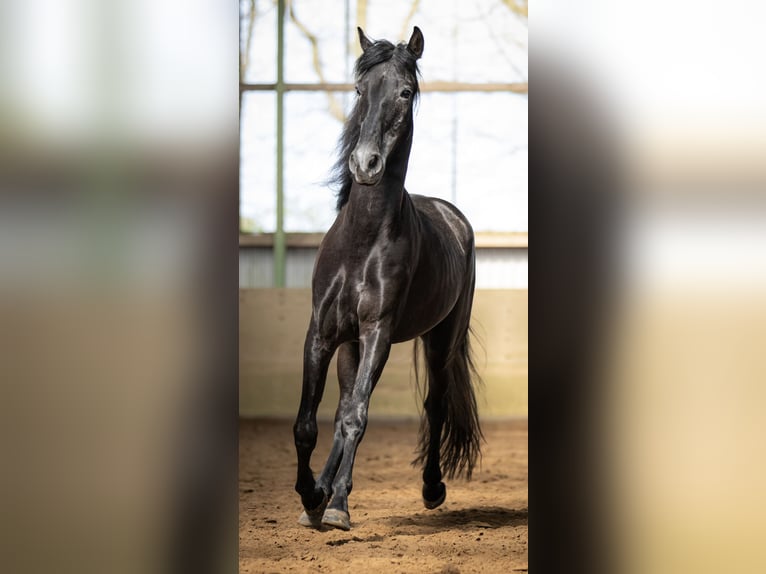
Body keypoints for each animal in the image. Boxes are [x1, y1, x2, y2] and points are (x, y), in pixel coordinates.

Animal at [296, 25, 486, 532]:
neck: (361, 241)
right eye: (361, 89)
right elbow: (310, 422)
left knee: (433, 406)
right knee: (341, 407)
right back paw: (320, 491)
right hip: (350, 346)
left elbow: (359, 417)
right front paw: (311, 495)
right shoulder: (322, 334)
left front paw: (338, 505)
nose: (365, 164)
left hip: (440, 341)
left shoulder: (378, 332)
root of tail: (453, 217)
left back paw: (430, 488)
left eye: (404, 92)